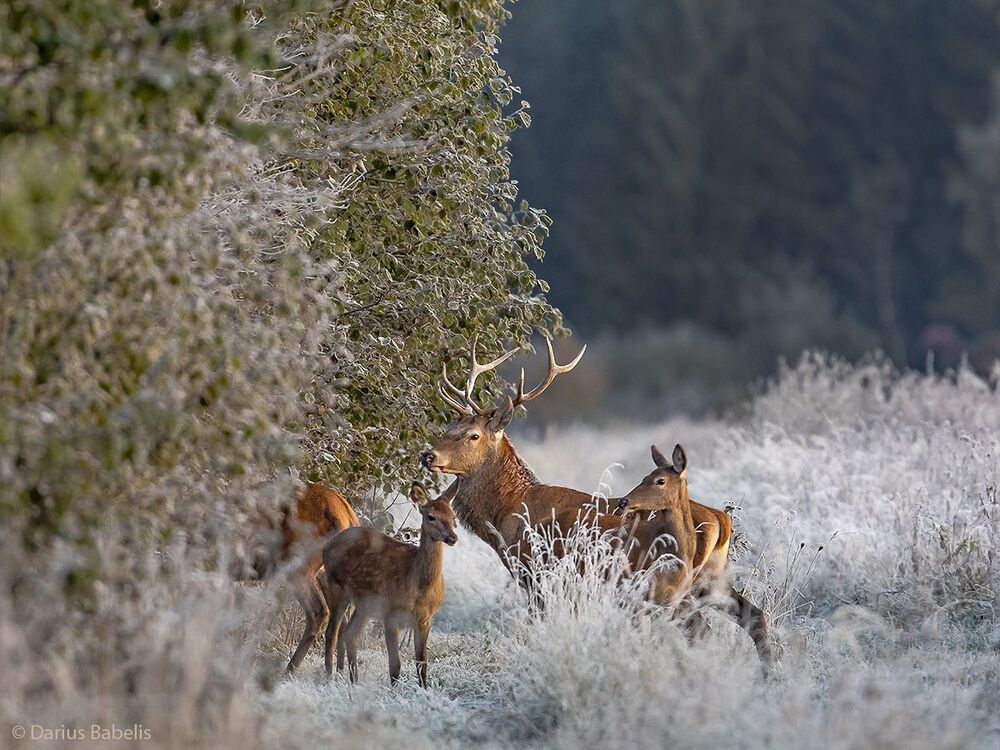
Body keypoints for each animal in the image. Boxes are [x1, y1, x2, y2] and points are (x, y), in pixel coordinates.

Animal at [244, 481, 361, 675]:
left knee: (318, 611)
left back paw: (291, 671)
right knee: (341, 620)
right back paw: (340, 673)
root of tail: (348, 515)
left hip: (299, 565)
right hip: (326, 574)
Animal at [320, 481, 459, 688]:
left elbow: (422, 663)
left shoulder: (425, 619)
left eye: (453, 516)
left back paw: (354, 682)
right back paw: (329, 679)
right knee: (332, 633)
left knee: (350, 635)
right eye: (431, 516)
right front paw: (393, 692)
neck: (419, 588)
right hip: (337, 587)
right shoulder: (390, 615)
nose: (452, 538)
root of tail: (326, 546)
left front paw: (424, 691)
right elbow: (395, 665)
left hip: (365, 605)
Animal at [421, 336, 772, 671]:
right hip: (713, 579)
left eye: (473, 435)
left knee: (701, 628)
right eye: (449, 428)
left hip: (677, 580)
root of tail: (722, 522)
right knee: (754, 615)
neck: (507, 515)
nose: (429, 455)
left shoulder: (538, 571)